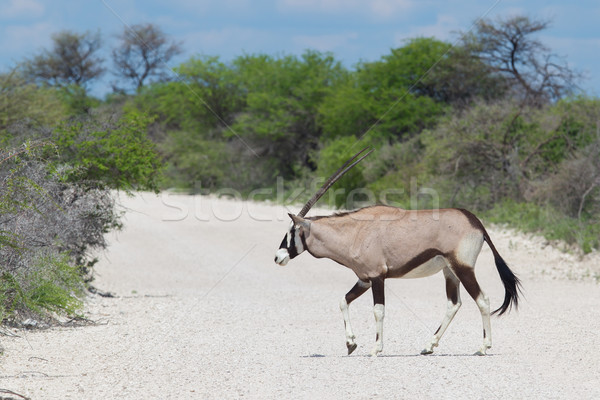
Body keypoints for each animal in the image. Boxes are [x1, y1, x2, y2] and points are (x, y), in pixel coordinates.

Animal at [274, 147, 520, 356]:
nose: (278, 257)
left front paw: (375, 349)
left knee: (483, 300)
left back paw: (483, 347)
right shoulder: (364, 279)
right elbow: (343, 301)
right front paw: (351, 343)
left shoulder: (377, 277)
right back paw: (429, 346)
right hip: (449, 271)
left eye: (292, 231)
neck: (354, 232)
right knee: (453, 304)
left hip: (463, 268)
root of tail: (476, 222)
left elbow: (378, 310)